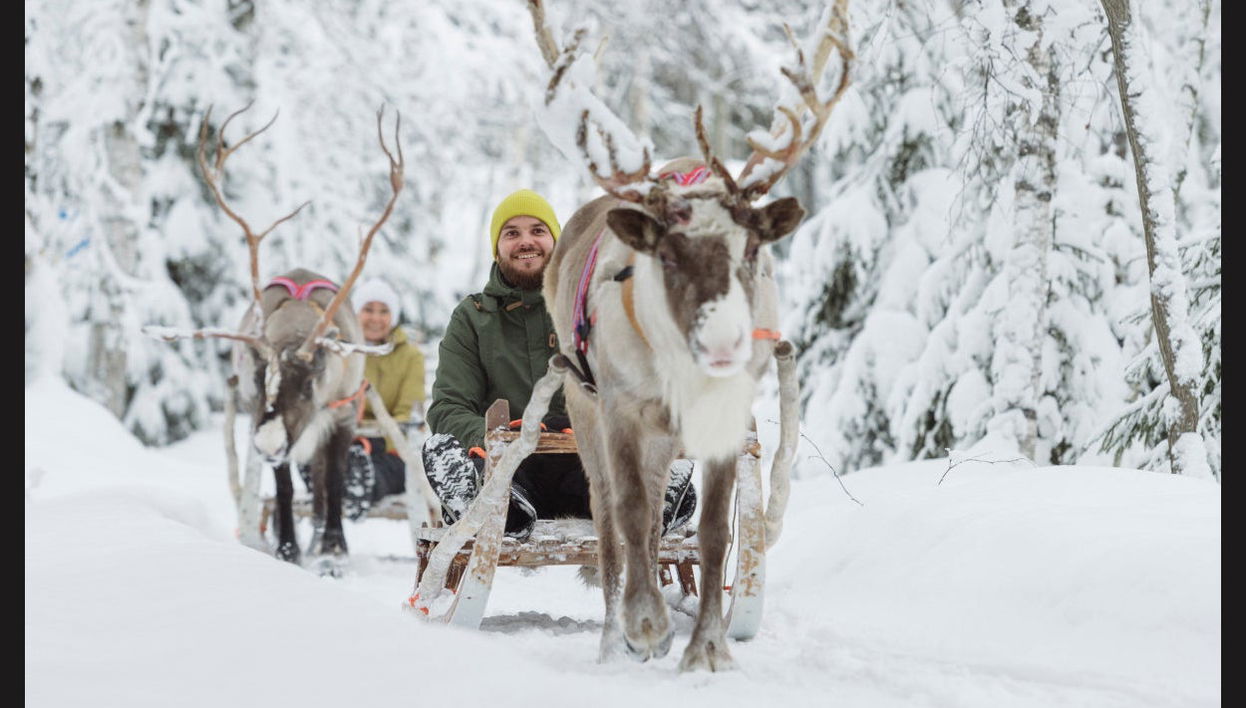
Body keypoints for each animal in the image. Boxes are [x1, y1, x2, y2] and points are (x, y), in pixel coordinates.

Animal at [145, 104, 404, 574]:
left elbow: (334, 482)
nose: (266, 443)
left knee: (322, 486)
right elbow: (284, 487)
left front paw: (333, 549)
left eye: (307, 383)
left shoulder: (343, 415)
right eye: (257, 376)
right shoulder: (258, 416)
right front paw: (288, 549)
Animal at [527, 0, 852, 671]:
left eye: (751, 248)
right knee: (610, 525)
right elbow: (628, 515)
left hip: (664, 441)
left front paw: (707, 650)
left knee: (657, 519)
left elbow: (712, 534)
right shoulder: (621, 406)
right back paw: (613, 640)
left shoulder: (726, 415)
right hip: (584, 408)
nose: (725, 344)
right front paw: (647, 626)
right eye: (668, 255)